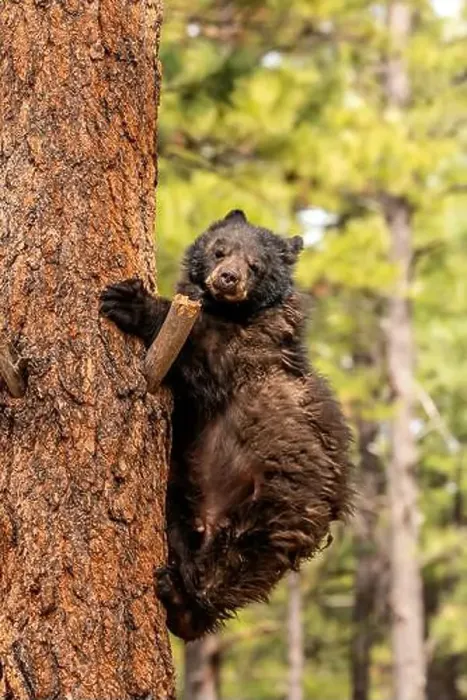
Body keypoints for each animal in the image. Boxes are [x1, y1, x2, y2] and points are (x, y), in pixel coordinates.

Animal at [100, 209, 353, 640]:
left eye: (256, 265)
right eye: (220, 249)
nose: (228, 278)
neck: (233, 312)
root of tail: (211, 517)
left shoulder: (248, 354)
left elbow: (202, 350)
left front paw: (131, 301)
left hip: (276, 508)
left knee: (236, 569)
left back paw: (185, 604)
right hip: (182, 492)